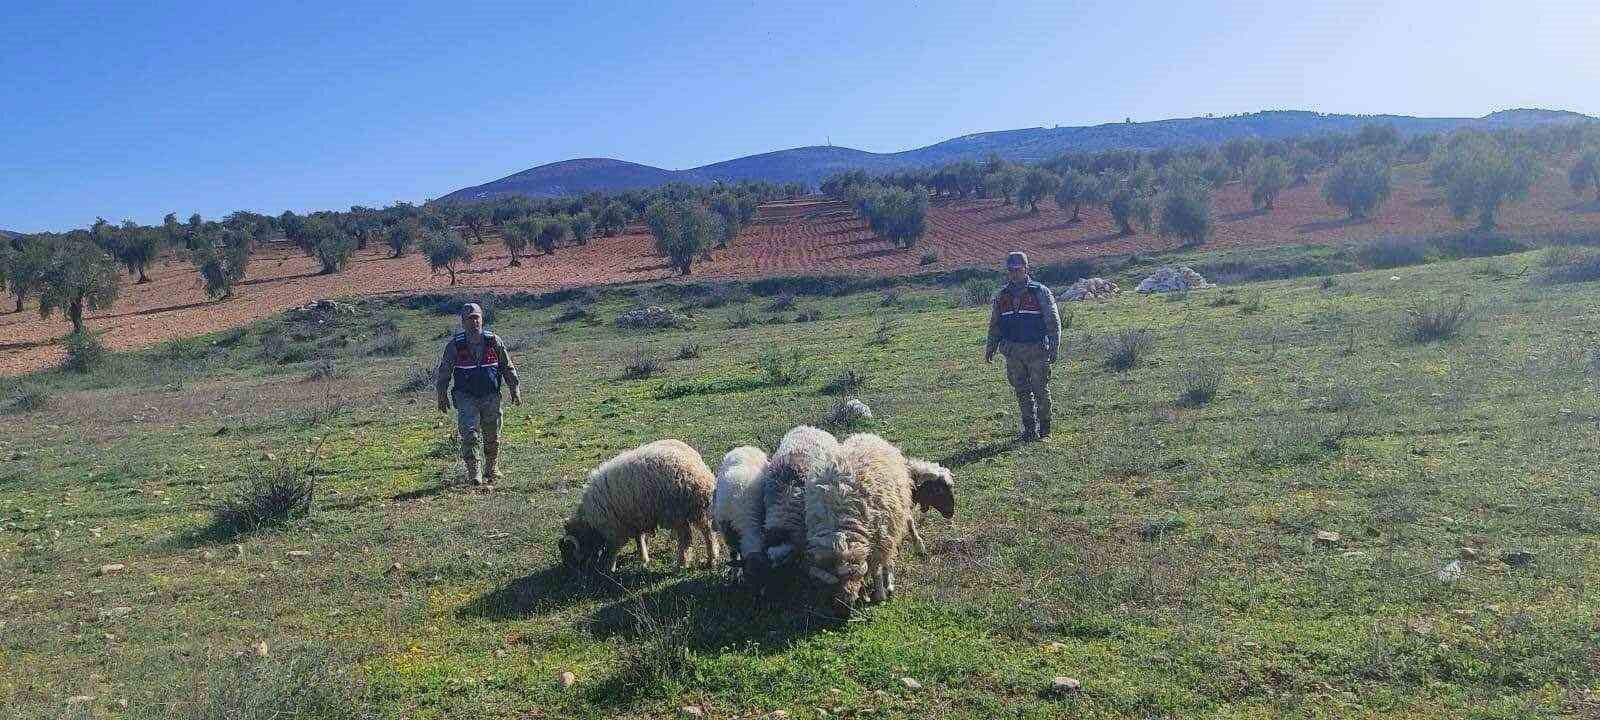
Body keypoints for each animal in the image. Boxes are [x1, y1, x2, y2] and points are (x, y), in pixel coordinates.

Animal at [556, 438, 720, 572]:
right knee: (708, 532)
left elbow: (612, 550)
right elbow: (638, 538)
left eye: (570, 554)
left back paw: (682, 563)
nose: (571, 572)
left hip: (677, 512)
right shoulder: (634, 520)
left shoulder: (615, 530)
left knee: (687, 539)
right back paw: (711, 559)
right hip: (696, 510)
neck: (590, 523)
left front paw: (608, 568)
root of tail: (699, 474)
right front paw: (643, 558)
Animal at [800, 428, 915, 614]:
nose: (844, 606)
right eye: (834, 584)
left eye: (853, 576)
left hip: (896, 518)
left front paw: (880, 594)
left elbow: (876, 570)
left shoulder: (878, 540)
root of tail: (867, 434)